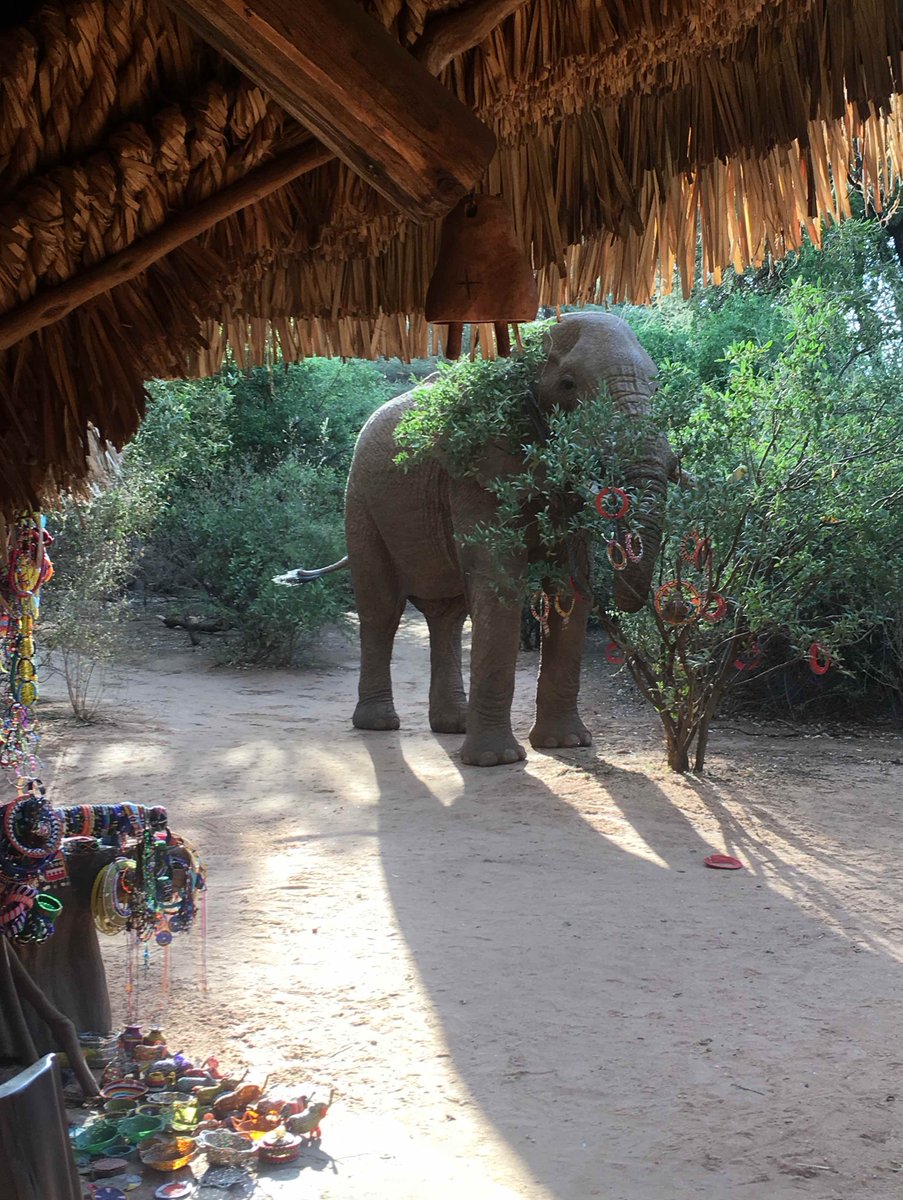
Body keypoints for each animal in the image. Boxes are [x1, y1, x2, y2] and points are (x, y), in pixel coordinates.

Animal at [276, 312, 682, 767]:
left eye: (657, 388)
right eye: (568, 385)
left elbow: (569, 583)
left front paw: (566, 745)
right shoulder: (473, 468)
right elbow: (499, 580)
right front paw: (496, 761)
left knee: (447, 615)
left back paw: (453, 725)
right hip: (360, 503)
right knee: (381, 608)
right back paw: (379, 724)